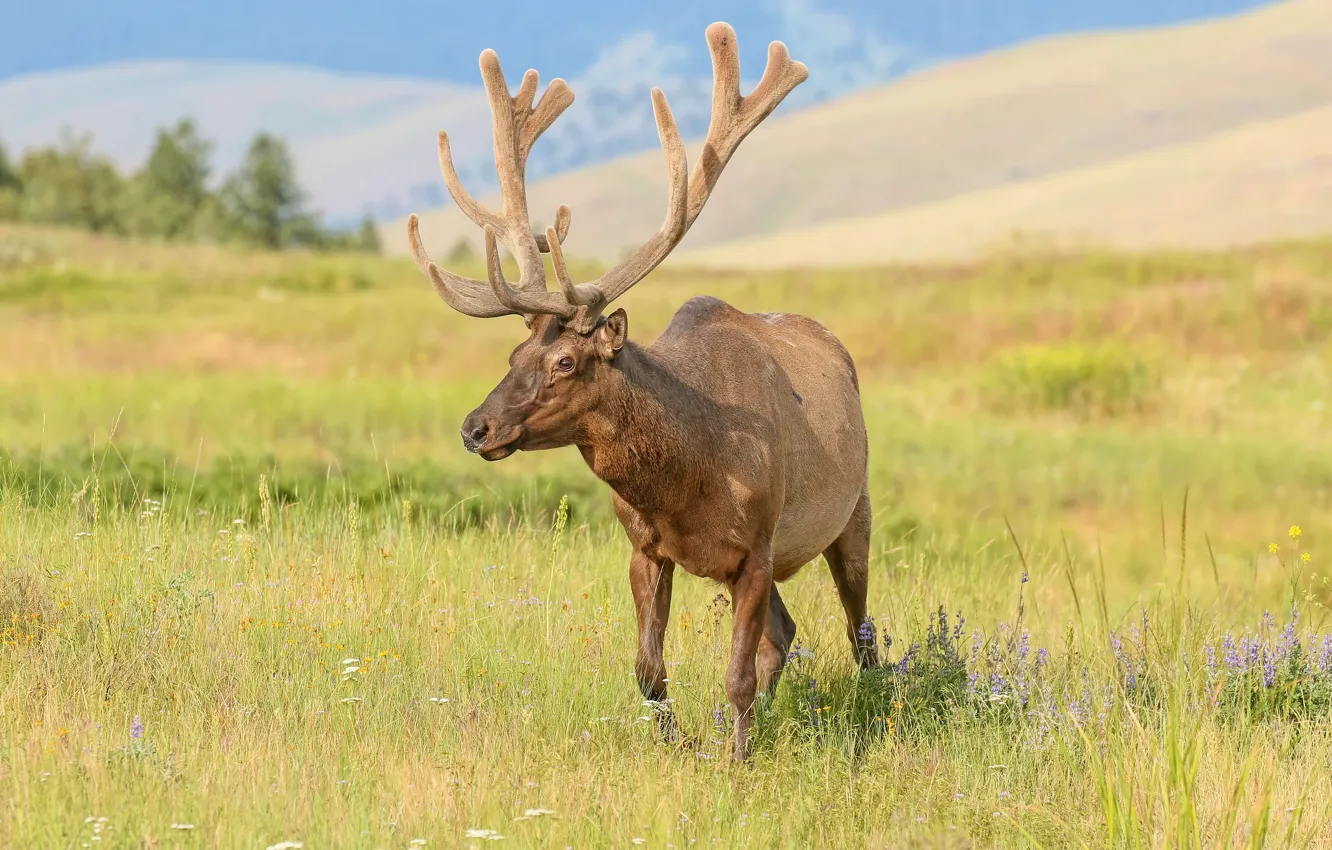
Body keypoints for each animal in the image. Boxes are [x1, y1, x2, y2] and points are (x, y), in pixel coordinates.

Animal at [406, 22, 878, 760]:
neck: (688, 478)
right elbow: (650, 671)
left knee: (863, 634)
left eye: (567, 360)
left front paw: (736, 760)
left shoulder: (757, 547)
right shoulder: (645, 549)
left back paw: (874, 705)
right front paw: (684, 744)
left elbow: (738, 673)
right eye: (514, 352)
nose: (475, 427)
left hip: (853, 512)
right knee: (788, 632)